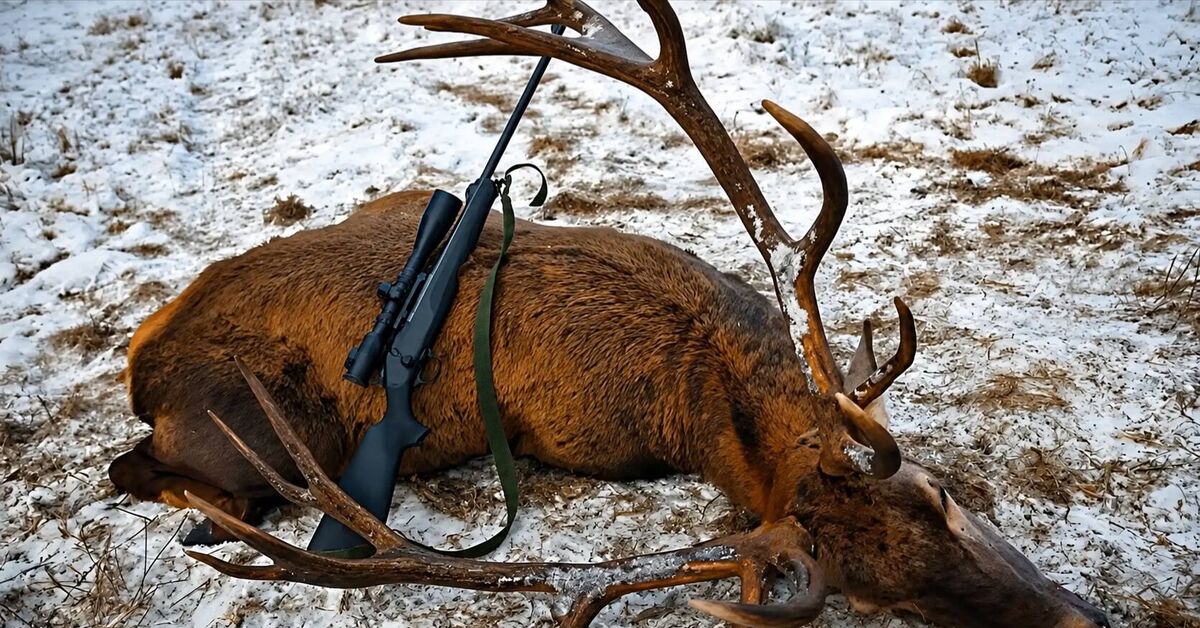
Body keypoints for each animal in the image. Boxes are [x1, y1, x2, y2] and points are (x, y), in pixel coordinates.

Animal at [105, 2, 1109, 627]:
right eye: (873, 602)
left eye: (943, 498)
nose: (1081, 619)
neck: (717, 379)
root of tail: (140, 360)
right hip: (259, 434)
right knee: (140, 468)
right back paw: (206, 518)